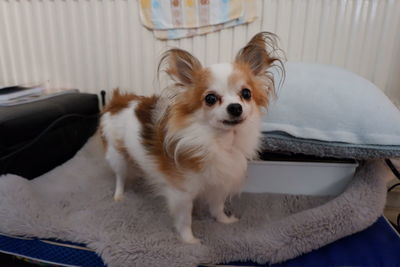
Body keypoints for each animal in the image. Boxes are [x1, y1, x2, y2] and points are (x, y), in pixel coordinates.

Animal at [100, 31, 282, 245]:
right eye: (210, 99)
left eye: (246, 94)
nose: (235, 107)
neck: (219, 141)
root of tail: (119, 100)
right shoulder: (182, 193)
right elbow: (185, 220)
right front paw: (190, 241)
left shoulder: (219, 184)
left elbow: (217, 206)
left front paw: (224, 221)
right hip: (117, 155)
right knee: (120, 176)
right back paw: (119, 195)